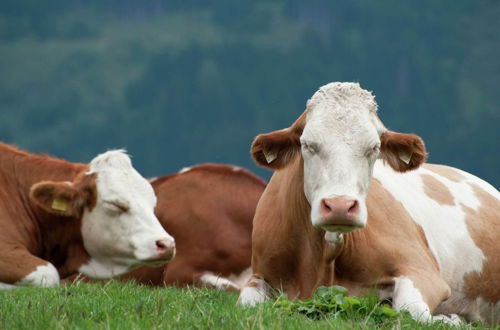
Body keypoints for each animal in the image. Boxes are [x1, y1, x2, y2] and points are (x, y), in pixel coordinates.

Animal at [239, 81, 500, 324]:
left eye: (374, 147)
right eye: (308, 145)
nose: (340, 206)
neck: (323, 264)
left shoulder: (420, 268)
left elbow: (411, 310)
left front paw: (450, 319)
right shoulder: (259, 274)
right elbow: (247, 304)